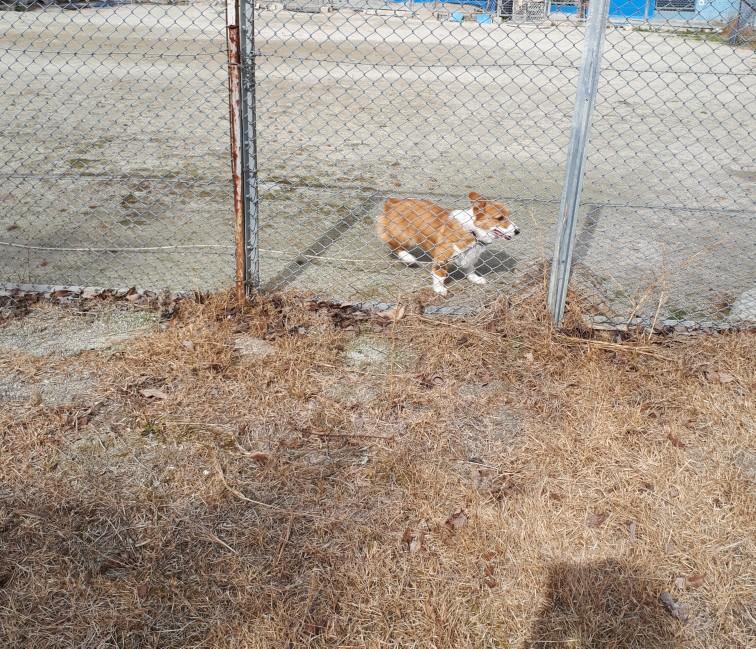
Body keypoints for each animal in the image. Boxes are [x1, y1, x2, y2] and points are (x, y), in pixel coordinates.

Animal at [376, 192, 519, 295]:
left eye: (508, 216)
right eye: (500, 218)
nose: (518, 231)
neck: (472, 231)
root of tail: (393, 202)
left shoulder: (469, 255)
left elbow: (470, 268)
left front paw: (475, 278)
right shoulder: (442, 257)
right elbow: (439, 275)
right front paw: (439, 289)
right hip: (405, 237)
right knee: (394, 245)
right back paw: (408, 258)